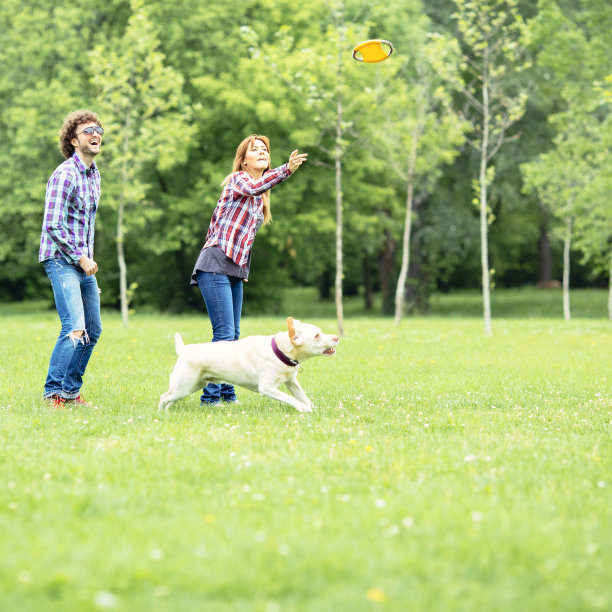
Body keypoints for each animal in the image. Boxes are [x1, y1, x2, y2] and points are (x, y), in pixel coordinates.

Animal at [158, 318, 340, 414]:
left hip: (191, 386)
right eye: (317, 335)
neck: (280, 351)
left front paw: (312, 408)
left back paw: (167, 411)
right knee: (163, 397)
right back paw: (160, 414)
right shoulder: (267, 388)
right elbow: (291, 399)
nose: (337, 337)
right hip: (185, 386)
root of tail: (184, 350)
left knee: (169, 398)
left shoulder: (291, 382)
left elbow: (304, 397)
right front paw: (303, 408)